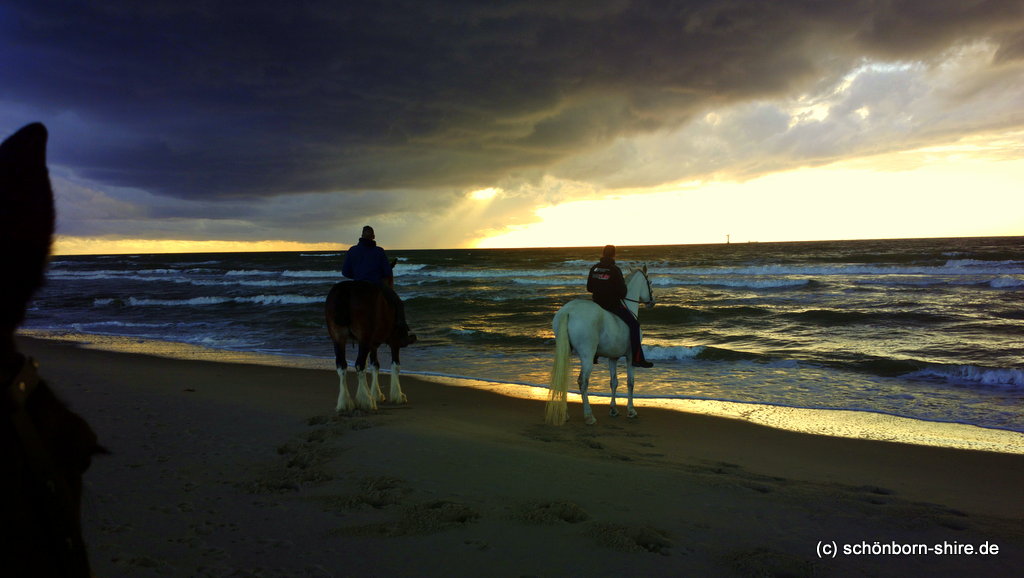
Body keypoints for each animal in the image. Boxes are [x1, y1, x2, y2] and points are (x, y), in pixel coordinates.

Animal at [325, 280, 409, 409]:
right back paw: (367, 401)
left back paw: (345, 402)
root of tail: (346, 289)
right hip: (364, 338)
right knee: (359, 365)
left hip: (338, 338)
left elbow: (375, 365)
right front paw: (398, 395)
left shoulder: (373, 344)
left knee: (342, 365)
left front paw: (376, 393)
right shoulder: (394, 341)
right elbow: (395, 365)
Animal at [548, 266, 651, 424]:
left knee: (564, 377)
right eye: (649, 282)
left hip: (565, 350)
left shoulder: (613, 357)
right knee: (583, 381)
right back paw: (589, 416)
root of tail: (568, 311)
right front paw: (631, 410)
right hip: (587, 355)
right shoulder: (630, 356)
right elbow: (630, 382)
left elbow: (614, 382)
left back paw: (565, 414)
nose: (652, 301)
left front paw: (613, 409)